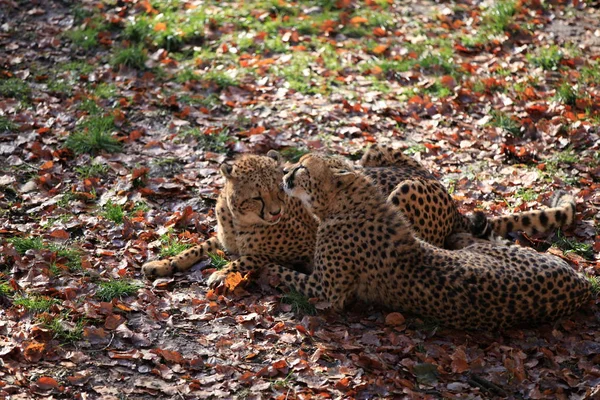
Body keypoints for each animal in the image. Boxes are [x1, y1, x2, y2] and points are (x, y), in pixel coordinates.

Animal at [142, 145, 576, 280]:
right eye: (257, 196)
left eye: (277, 192)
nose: (275, 212)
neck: (238, 217)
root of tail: (452, 203)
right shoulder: (223, 236)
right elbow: (197, 246)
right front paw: (161, 264)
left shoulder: (300, 247)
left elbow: (252, 257)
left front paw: (222, 272)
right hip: (371, 152)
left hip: (402, 192)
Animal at [272, 155, 592, 330]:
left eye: (303, 168)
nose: (284, 172)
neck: (351, 203)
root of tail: (583, 284)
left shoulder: (329, 292)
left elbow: (287, 275)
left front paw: (268, 269)